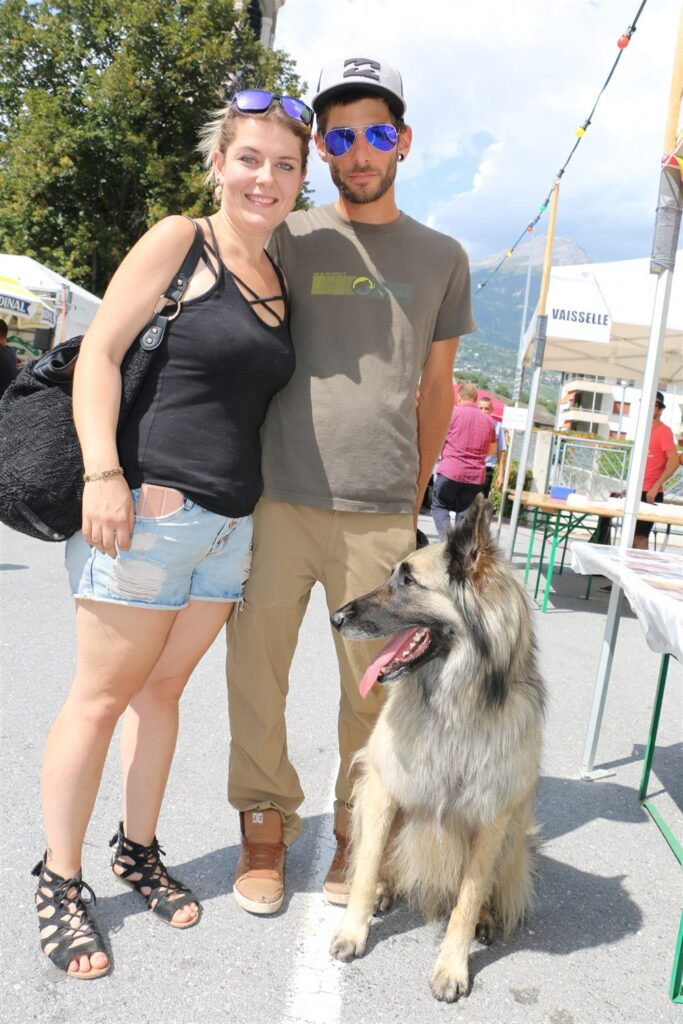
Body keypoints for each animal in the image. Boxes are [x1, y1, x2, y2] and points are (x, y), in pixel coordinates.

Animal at [329, 495, 545, 1002]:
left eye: (407, 581)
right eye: (393, 574)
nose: (335, 618)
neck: (456, 701)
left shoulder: (493, 818)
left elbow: (467, 898)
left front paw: (452, 966)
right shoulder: (383, 789)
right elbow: (365, 868)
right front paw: (353, 931)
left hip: (514, 836)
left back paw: (486, 919)